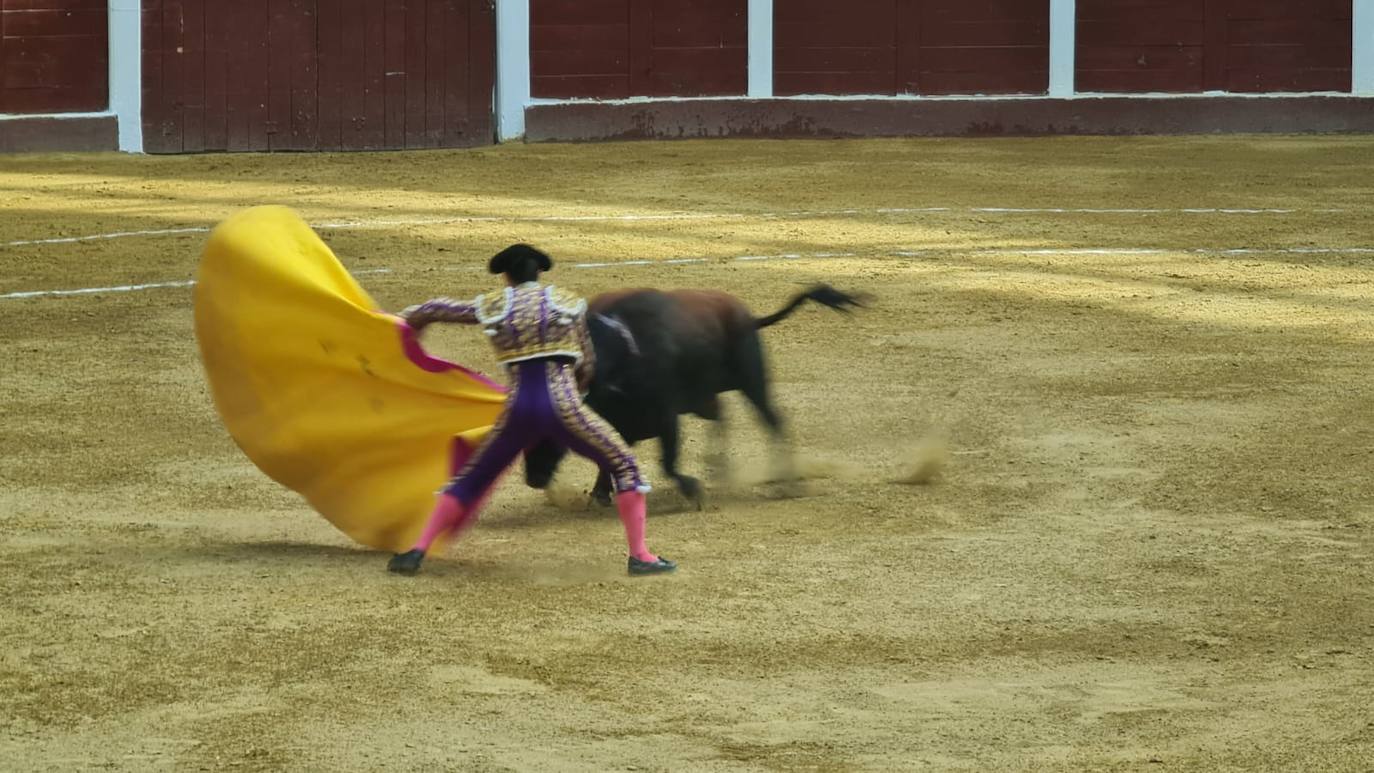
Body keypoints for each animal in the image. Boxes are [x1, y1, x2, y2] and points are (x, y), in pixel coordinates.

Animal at [522, 286, 857, 505]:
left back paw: (785, 483)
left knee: (773, 420)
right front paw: (601, 493)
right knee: (724, 416)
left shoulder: (666, 414)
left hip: (752, 382)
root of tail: (747, 316)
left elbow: (667, 462)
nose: (533, 478)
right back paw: (720, 467)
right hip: (706, 396)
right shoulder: (622, 421)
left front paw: (692, 490)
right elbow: (611, 456)